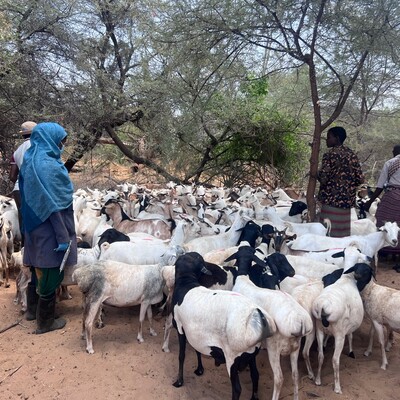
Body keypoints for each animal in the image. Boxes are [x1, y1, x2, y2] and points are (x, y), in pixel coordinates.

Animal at [170, 253, 276, 400]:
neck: (187, 282)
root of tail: (256, 314)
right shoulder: (195, 333)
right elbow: (197, 350)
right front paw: (200, 370)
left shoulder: (180, 328)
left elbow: (181, 356)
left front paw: (179, 381)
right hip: (251, 354)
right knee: (255, 375)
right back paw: (254, 397)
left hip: (233, 357)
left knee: (237, 389)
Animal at [312, 262, 372, 394]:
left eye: (366, 270)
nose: (359, 275)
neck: (347, 279)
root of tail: (323, 306)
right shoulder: (346, 328)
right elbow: (350, 336)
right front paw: (351, 351)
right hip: (339, 335)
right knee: (335, 360)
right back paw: (337, 387)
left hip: (319, 330)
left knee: (320, 356)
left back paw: (318, 380)